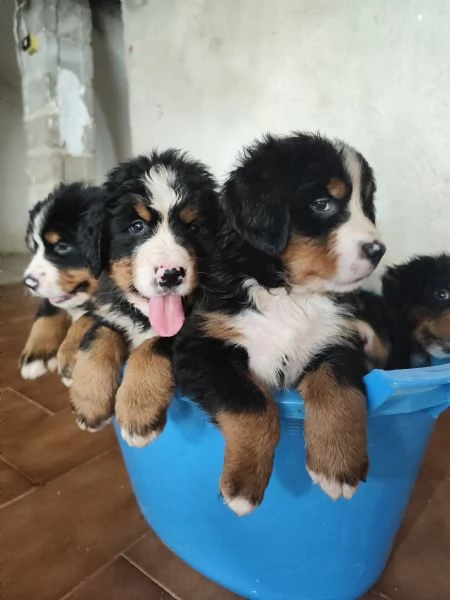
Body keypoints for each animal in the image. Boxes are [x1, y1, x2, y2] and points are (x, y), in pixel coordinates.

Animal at [21, 180, 106, 384]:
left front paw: (70, 355)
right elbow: (47, 313)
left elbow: (86, 317)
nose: (28, 283)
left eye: (62, 247)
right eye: (35, 247)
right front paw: (36, 354)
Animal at [67, 150, 221, 440]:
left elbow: (152, 346)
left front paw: (137, 409)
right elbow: (99, 337)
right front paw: (89, 400)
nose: (170, 274)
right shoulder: (112, 312)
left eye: (194, 228)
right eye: (137, 226)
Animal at [172, 132, 386, 516]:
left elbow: (340, 391)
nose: (378, 250)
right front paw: (243, 484)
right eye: (322, 204)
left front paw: (338, 465)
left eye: (366, 204)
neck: (292, 295)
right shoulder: (201, 348)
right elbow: (255, 405)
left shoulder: (338, 340)